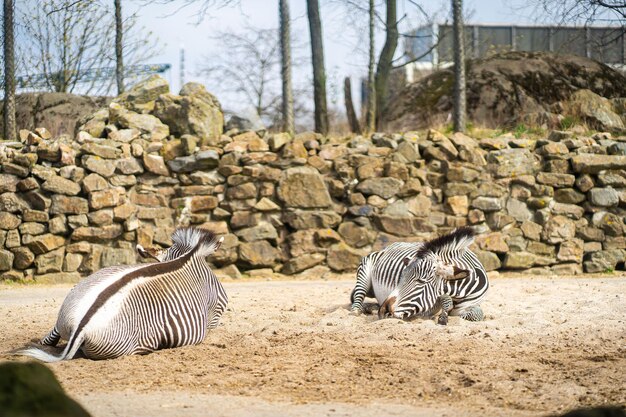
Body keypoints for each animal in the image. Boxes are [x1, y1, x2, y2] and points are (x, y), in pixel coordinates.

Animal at [17, 228, 229, 360]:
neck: (188, 256)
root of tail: (81, 327)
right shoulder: (215, 313)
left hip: (69, 303)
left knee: (49, 337)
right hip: (140, 343)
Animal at [348, 226, 486, 324]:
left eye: (420, 281)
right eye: (400, 279)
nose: (383, 311)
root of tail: (387, 247)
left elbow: (477, 314)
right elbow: (445, 299)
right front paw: (443, 316)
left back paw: (371, 308)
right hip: (364, 272)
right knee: (357, 300)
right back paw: (360, 310)